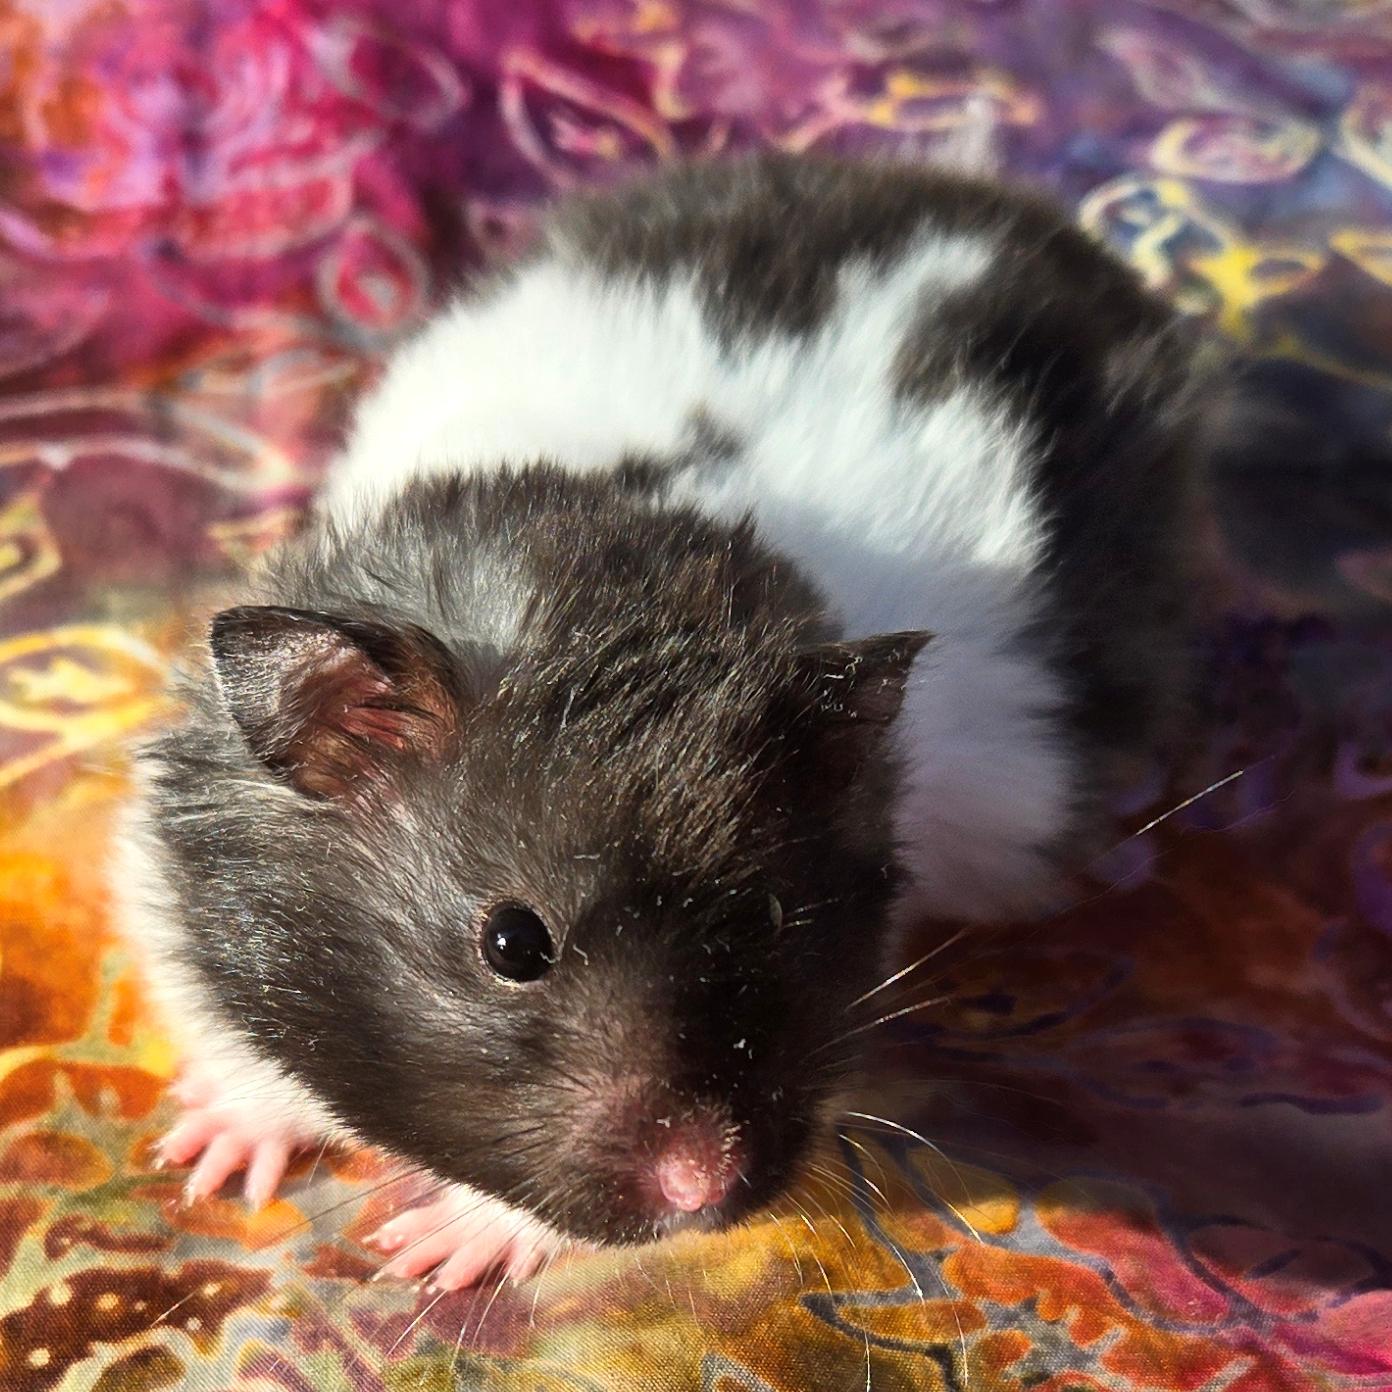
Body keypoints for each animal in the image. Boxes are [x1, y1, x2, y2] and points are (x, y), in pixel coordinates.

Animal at [113, 153, 1207, 1289]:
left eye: (771, 920)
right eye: (513, 944)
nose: (702, 1188)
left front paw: (435, 1251)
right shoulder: (161, 863)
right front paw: (209, 1161)